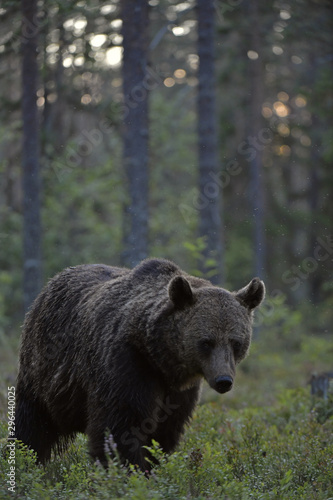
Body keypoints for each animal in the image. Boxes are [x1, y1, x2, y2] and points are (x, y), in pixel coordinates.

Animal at [14, 258, 264, 472]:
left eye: (236, 342)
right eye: (206, 342)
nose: (224, 381)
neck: (161, 358)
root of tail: (52, 281)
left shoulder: (179, 393)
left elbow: (163, 433)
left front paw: (152, 466)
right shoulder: (127, 365)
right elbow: (122, 426)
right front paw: (126, 471)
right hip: (43, 367)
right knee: (32, 423)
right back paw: (24, 460)